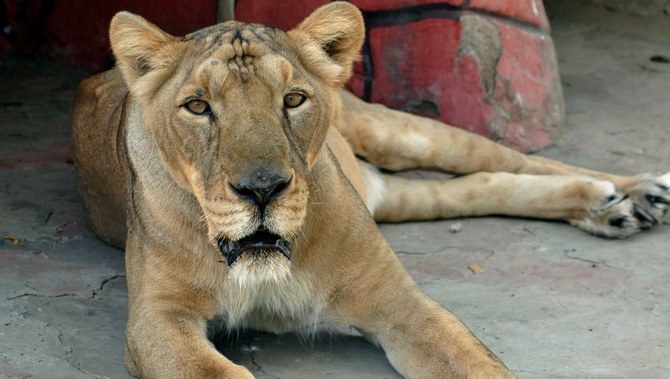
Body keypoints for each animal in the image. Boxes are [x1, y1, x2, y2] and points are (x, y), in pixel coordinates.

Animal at [71, 2, 668, 379]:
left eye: (293, 99)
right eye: (197, 106)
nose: (262, 189)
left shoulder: (396, 302)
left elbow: (475, 363)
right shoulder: (157, 322)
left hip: (401, 132)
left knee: (517, 159)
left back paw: (633, 195)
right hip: (398, 193)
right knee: (478, 184)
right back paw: (611, 206)